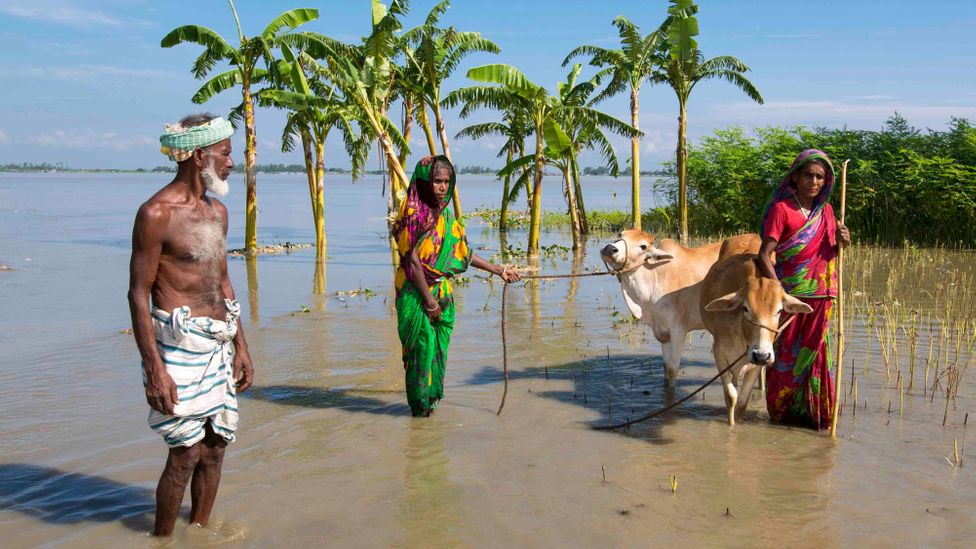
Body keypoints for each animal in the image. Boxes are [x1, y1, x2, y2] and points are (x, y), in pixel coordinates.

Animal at [596, 229, 764, 384]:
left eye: (643, 246)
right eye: (620, 235)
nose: (610, 248)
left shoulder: (678, 330)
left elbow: (672, 370)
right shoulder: (663, 333)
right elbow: (665, 368)